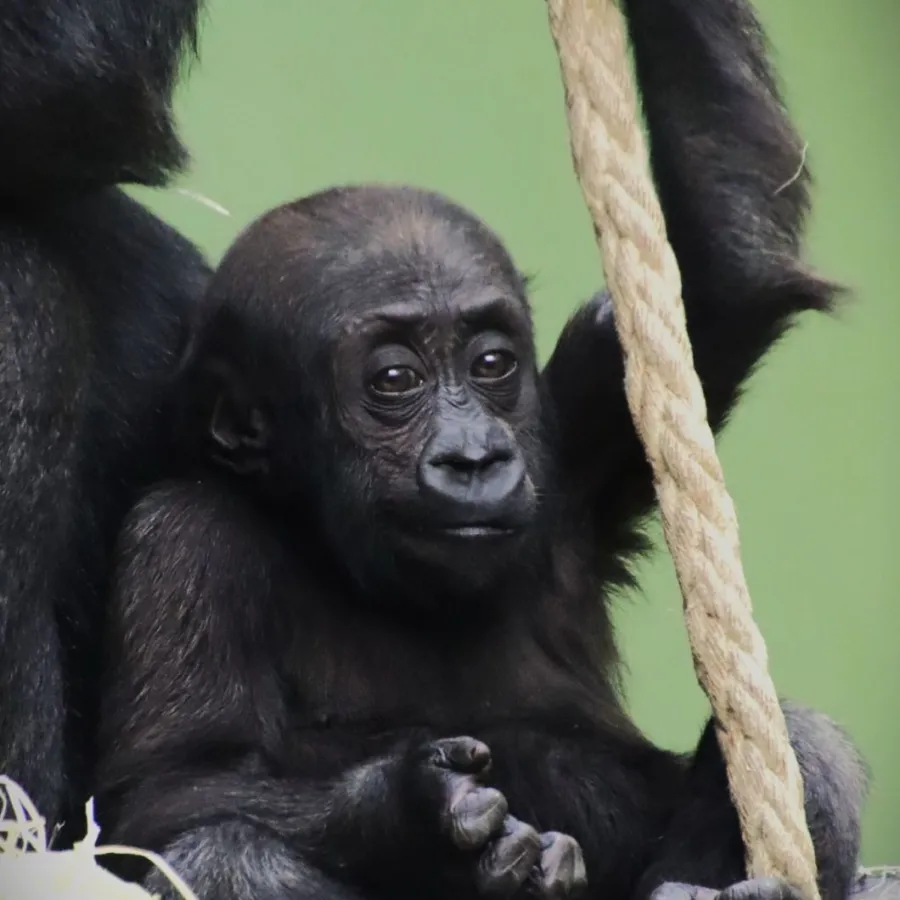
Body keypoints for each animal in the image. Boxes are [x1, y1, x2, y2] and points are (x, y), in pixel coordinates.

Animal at [95, 183, 868, 900]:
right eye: (395, 379)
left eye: (491, 364)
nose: (474, 456)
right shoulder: (182, 543)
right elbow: (175, 788)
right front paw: (414, 812)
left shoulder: (577, 440)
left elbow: (718, 287)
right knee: (226, 857)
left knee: (809, 745)